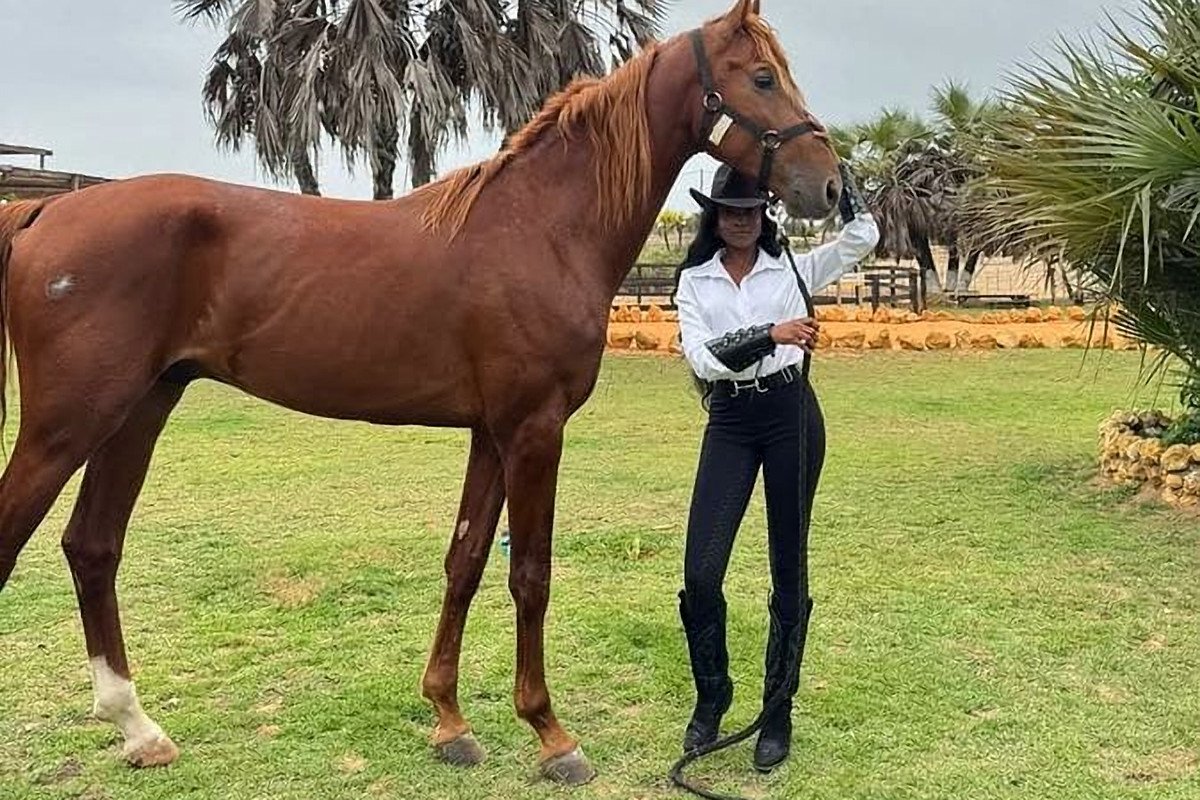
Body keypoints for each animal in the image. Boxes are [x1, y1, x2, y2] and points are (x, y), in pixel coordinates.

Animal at [0, 0, 839, 784]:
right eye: (762, 78)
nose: (830, 184)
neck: (542, 226)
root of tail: (50, 207)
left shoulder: (491, 433)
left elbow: (465, 561)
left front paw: (450, 721)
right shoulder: (535, 429)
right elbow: (529, 575)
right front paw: (551, 735)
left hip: (141, 409)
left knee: (93, 547)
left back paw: (139, 730)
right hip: (68, 424)